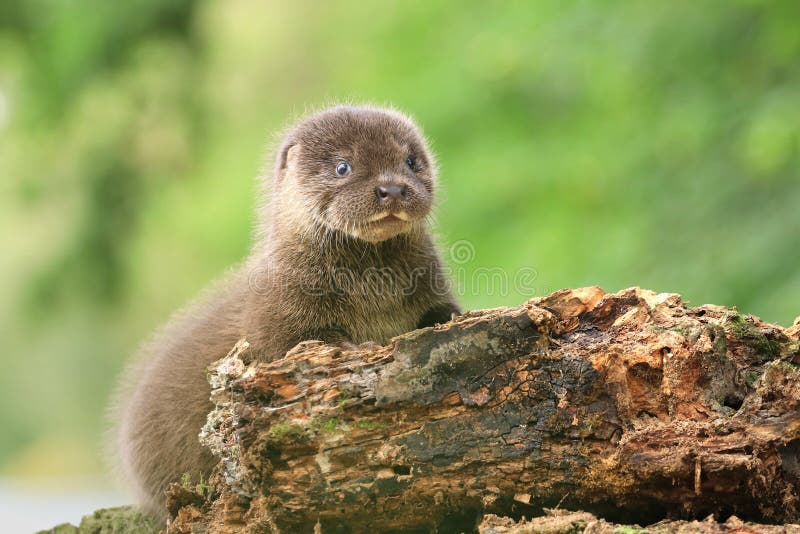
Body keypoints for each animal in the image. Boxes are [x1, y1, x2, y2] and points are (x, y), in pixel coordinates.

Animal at [115, 105, 460, 524]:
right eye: (343, 166)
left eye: (410, 161)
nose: (392, 188)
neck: (373, 294)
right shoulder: (277, 311)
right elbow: (293, 344)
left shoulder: (431, 285)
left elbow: (442, 311)